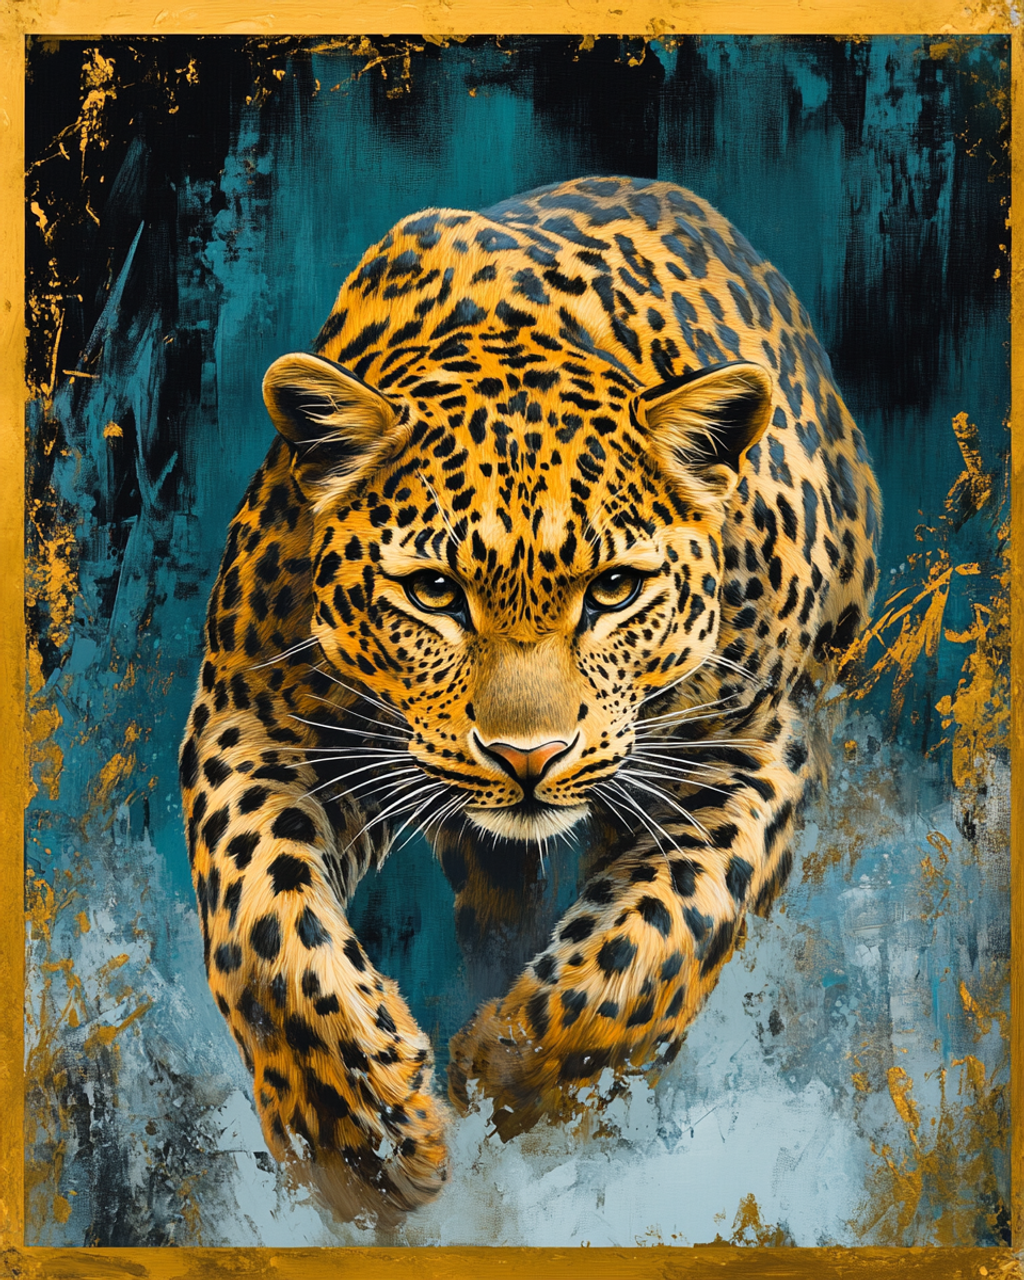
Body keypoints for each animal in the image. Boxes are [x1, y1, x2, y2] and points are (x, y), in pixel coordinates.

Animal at [179, 176, 881, 1223]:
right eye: (434, 592)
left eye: (615, 589)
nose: (527, 758)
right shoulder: (253, 714)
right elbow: (264, 922)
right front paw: (355, 1139)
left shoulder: (751, 747)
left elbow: (667, 931)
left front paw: (521, 1081)